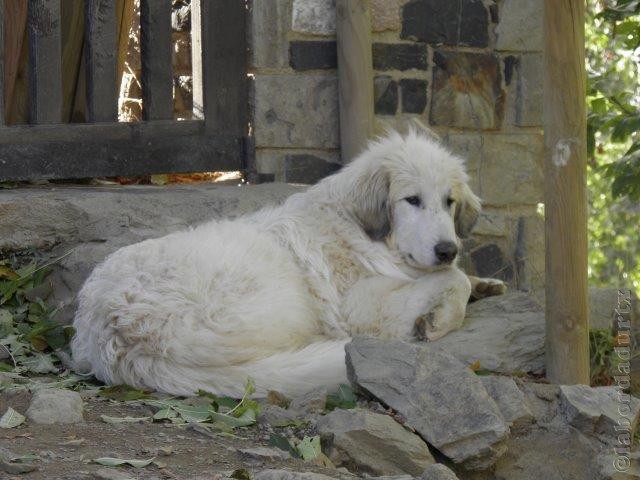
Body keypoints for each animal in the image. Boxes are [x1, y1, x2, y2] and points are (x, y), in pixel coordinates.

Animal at [72, 127, 502, 398]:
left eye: (449, 201)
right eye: (412, 200)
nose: (447, 249)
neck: (360, 228)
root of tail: (113, 333)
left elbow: (460, 276)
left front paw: (486, 285)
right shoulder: (363, 307)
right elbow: (451, 281)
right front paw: (440, 317)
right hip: (286, 298)